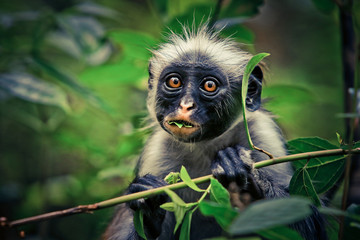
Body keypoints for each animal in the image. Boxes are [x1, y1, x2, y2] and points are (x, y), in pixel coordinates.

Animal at [102, 25, 328, 240]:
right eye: (174, 82)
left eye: (209, 85)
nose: (186, 105)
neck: (205, 146)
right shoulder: (157, 154)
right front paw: (149, 201)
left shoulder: (263, 133)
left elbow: (305, 221)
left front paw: (241, 176)